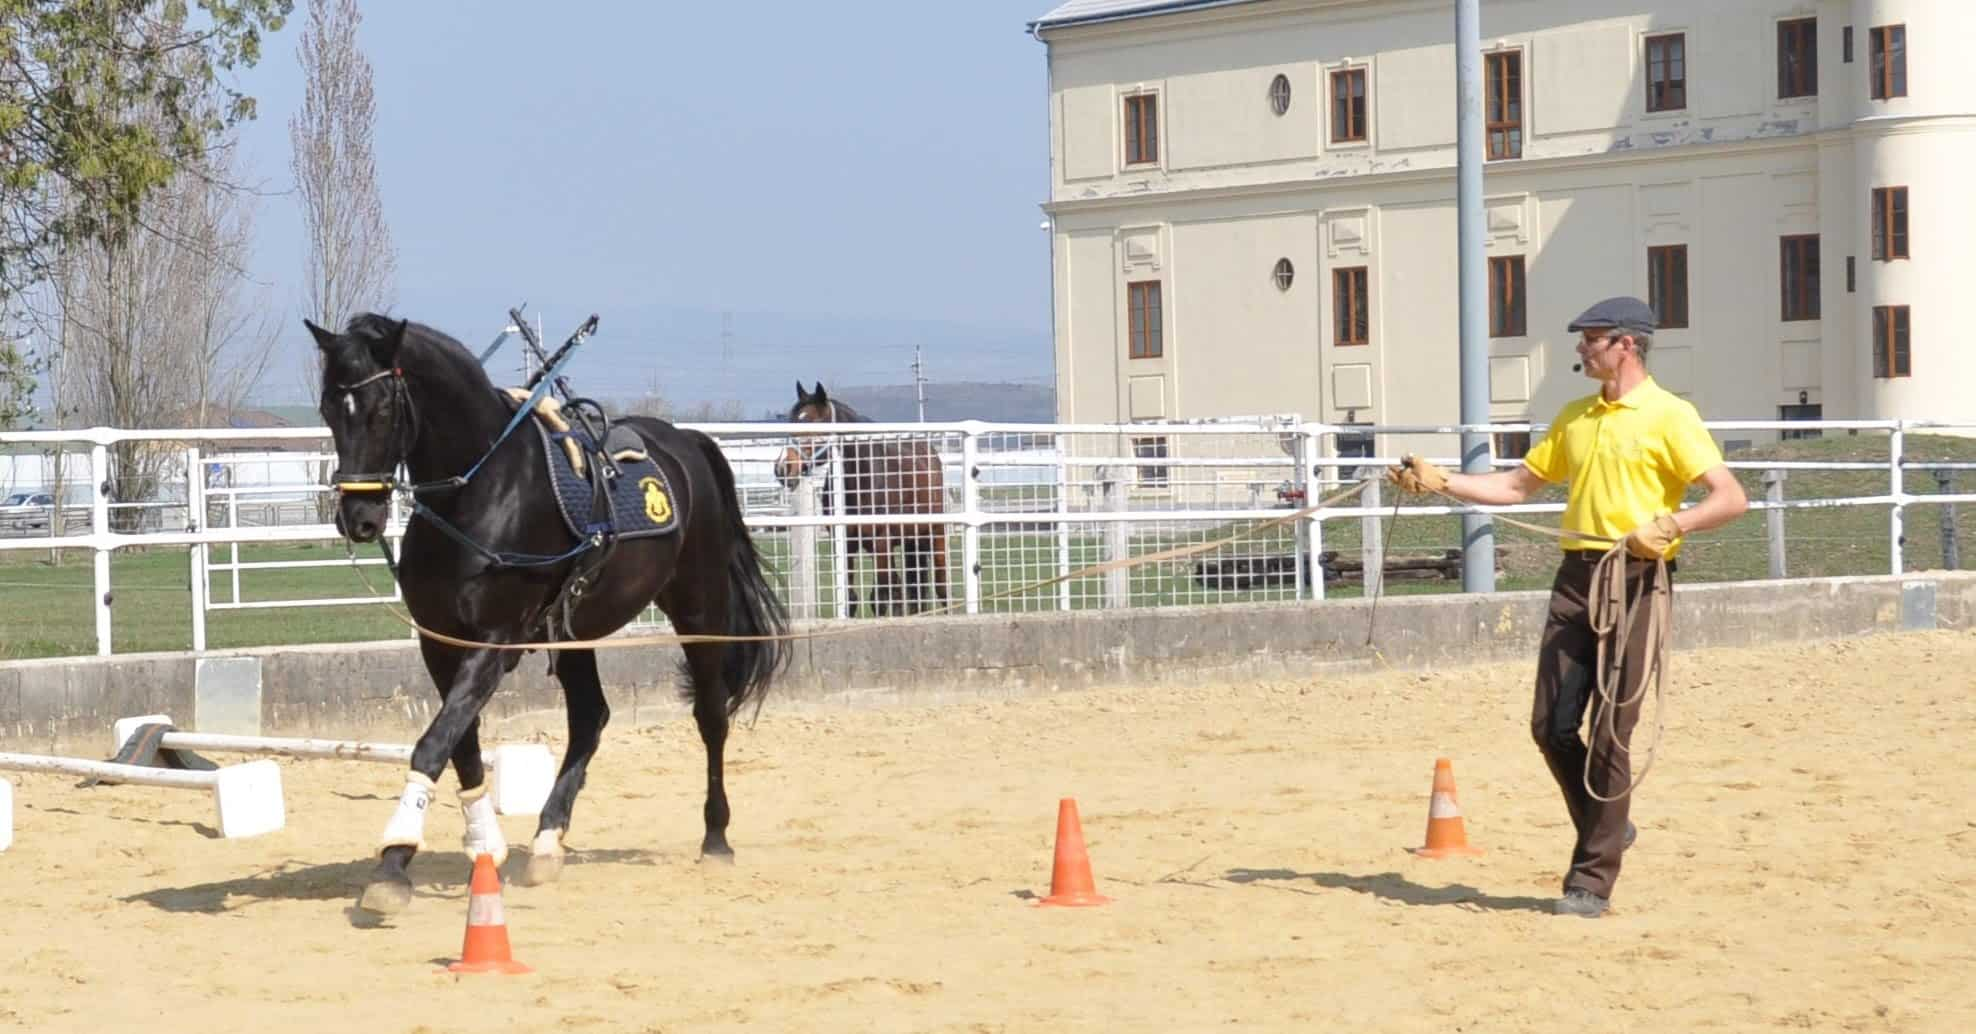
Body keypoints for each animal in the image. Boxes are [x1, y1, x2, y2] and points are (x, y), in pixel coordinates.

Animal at [308, 314, 786, 913]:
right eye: (328, 408)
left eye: (382, 410)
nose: (359, 518)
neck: (484, 492)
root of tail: (687, 442)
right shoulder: (441, 642)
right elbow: (461, 744)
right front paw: (483, 847)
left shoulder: (495, 642)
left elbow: (433, 744)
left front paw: (393, 861)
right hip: (574, 630)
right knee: (590, 718)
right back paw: (547, 841)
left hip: (699, 607)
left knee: (710, 716)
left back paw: (716, 838)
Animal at [770, 383, 948, 620]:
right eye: (791, 422)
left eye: (814, 423)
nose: (783, 468)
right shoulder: (845, 544)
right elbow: (851, 597)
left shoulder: (881, 542)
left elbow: (881, 596)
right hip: (910, 541)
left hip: (933, 534)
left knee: (940, 586)